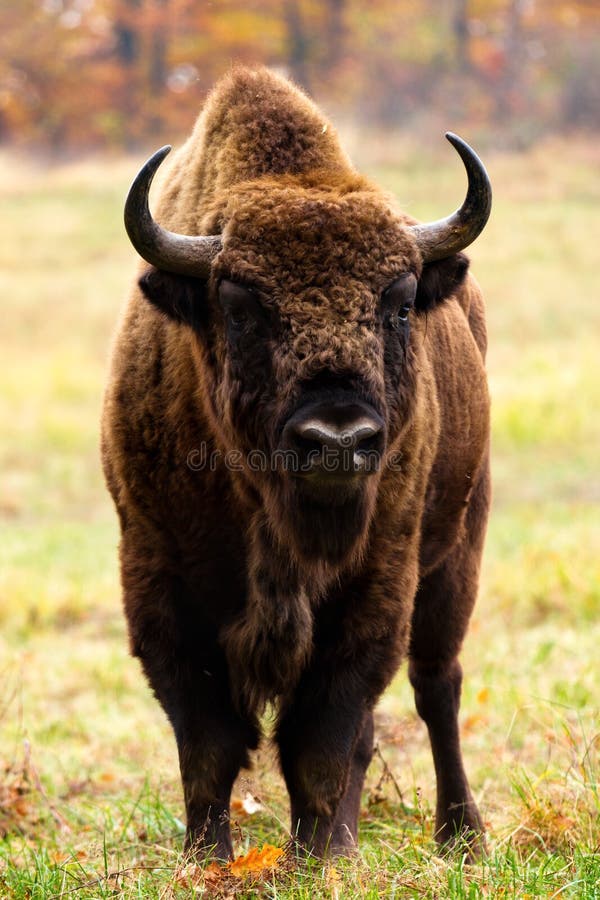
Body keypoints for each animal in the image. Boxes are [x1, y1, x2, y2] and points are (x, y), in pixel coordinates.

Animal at [99, 67, 492, 860]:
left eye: (399, 303)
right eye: (240, 306)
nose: (337, 438)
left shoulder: (376, 586)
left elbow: (323, 741)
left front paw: (317, 860)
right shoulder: (160, 587)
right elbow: (209, 744)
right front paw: (209, 860)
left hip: (459, 551)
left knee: (437, 686)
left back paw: (459, 836)